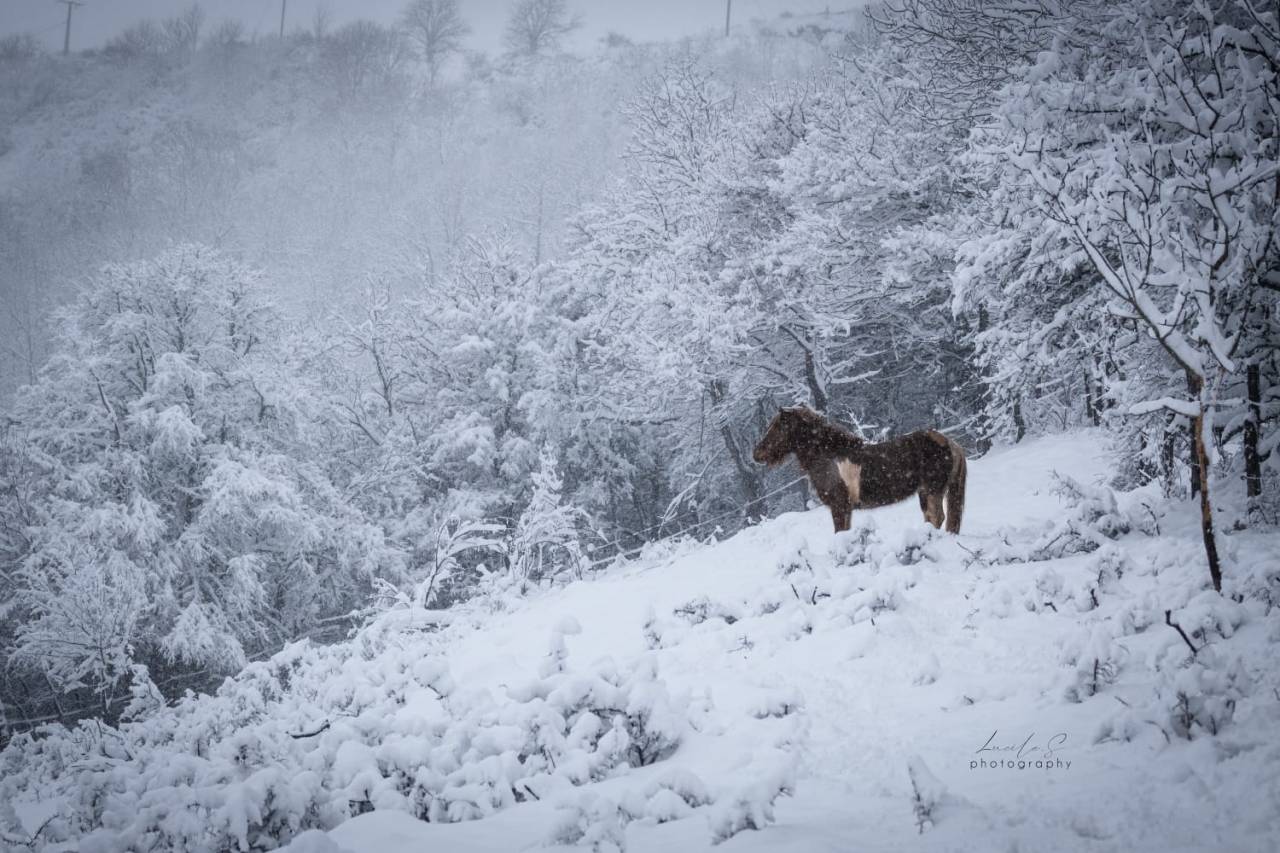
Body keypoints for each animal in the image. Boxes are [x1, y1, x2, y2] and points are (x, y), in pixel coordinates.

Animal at [752, 406, 967, 534]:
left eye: (777, 427)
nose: (757, 454)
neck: (830, 454)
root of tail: (951, 443)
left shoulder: (839, 505)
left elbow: (839, 532)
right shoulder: (846, 508)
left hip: (932, 490)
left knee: (937, 517)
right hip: (925, 492)